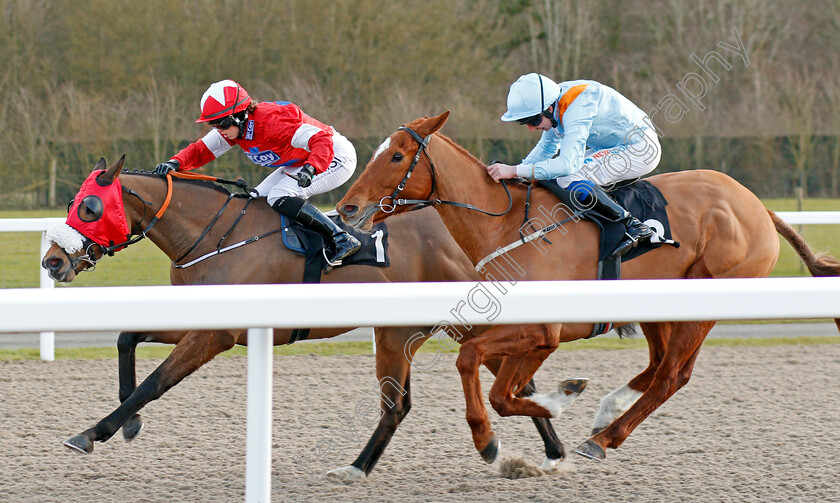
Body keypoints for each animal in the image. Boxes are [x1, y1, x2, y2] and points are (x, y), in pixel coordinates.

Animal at [39, 158, 584, 480]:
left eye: (90, 207)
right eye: (71, 202)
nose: (52, 261)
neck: (213, 235)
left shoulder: (215, 334)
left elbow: (153, 382)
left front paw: (93, 433)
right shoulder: (200, 320)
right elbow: (126, 337)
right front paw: (128, 424)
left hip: (448, 323)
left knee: (453, 387)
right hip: (410, 330)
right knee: (446, 393)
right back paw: (549, 451)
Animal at [334, 112, 840, 462]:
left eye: (397, 156)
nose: (347, 208)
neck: (505, 226)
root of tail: (758, 207)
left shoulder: (544, 329)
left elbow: (475, 365)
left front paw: (489, 438)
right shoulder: (533, 335)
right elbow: (501, 388)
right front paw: (557, 401)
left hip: (704, 300)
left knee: (671, 376)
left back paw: (603, 438)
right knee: (659, 367)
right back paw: (603, 416)